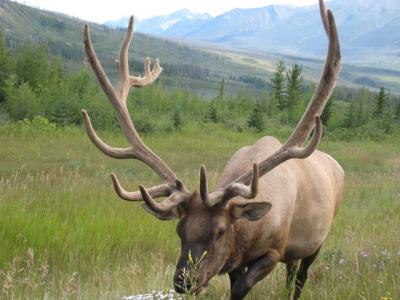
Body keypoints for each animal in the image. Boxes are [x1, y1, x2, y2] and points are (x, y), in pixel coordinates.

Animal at [81, 1, 344, 298]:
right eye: (180, 230)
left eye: (220, 231)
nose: (184, 281)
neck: (247, 235)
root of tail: (338, 167)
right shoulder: (235, 261)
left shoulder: (274, 251)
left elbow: (241, 288)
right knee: (291, 273)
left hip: (316, 242)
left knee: (300, 277)